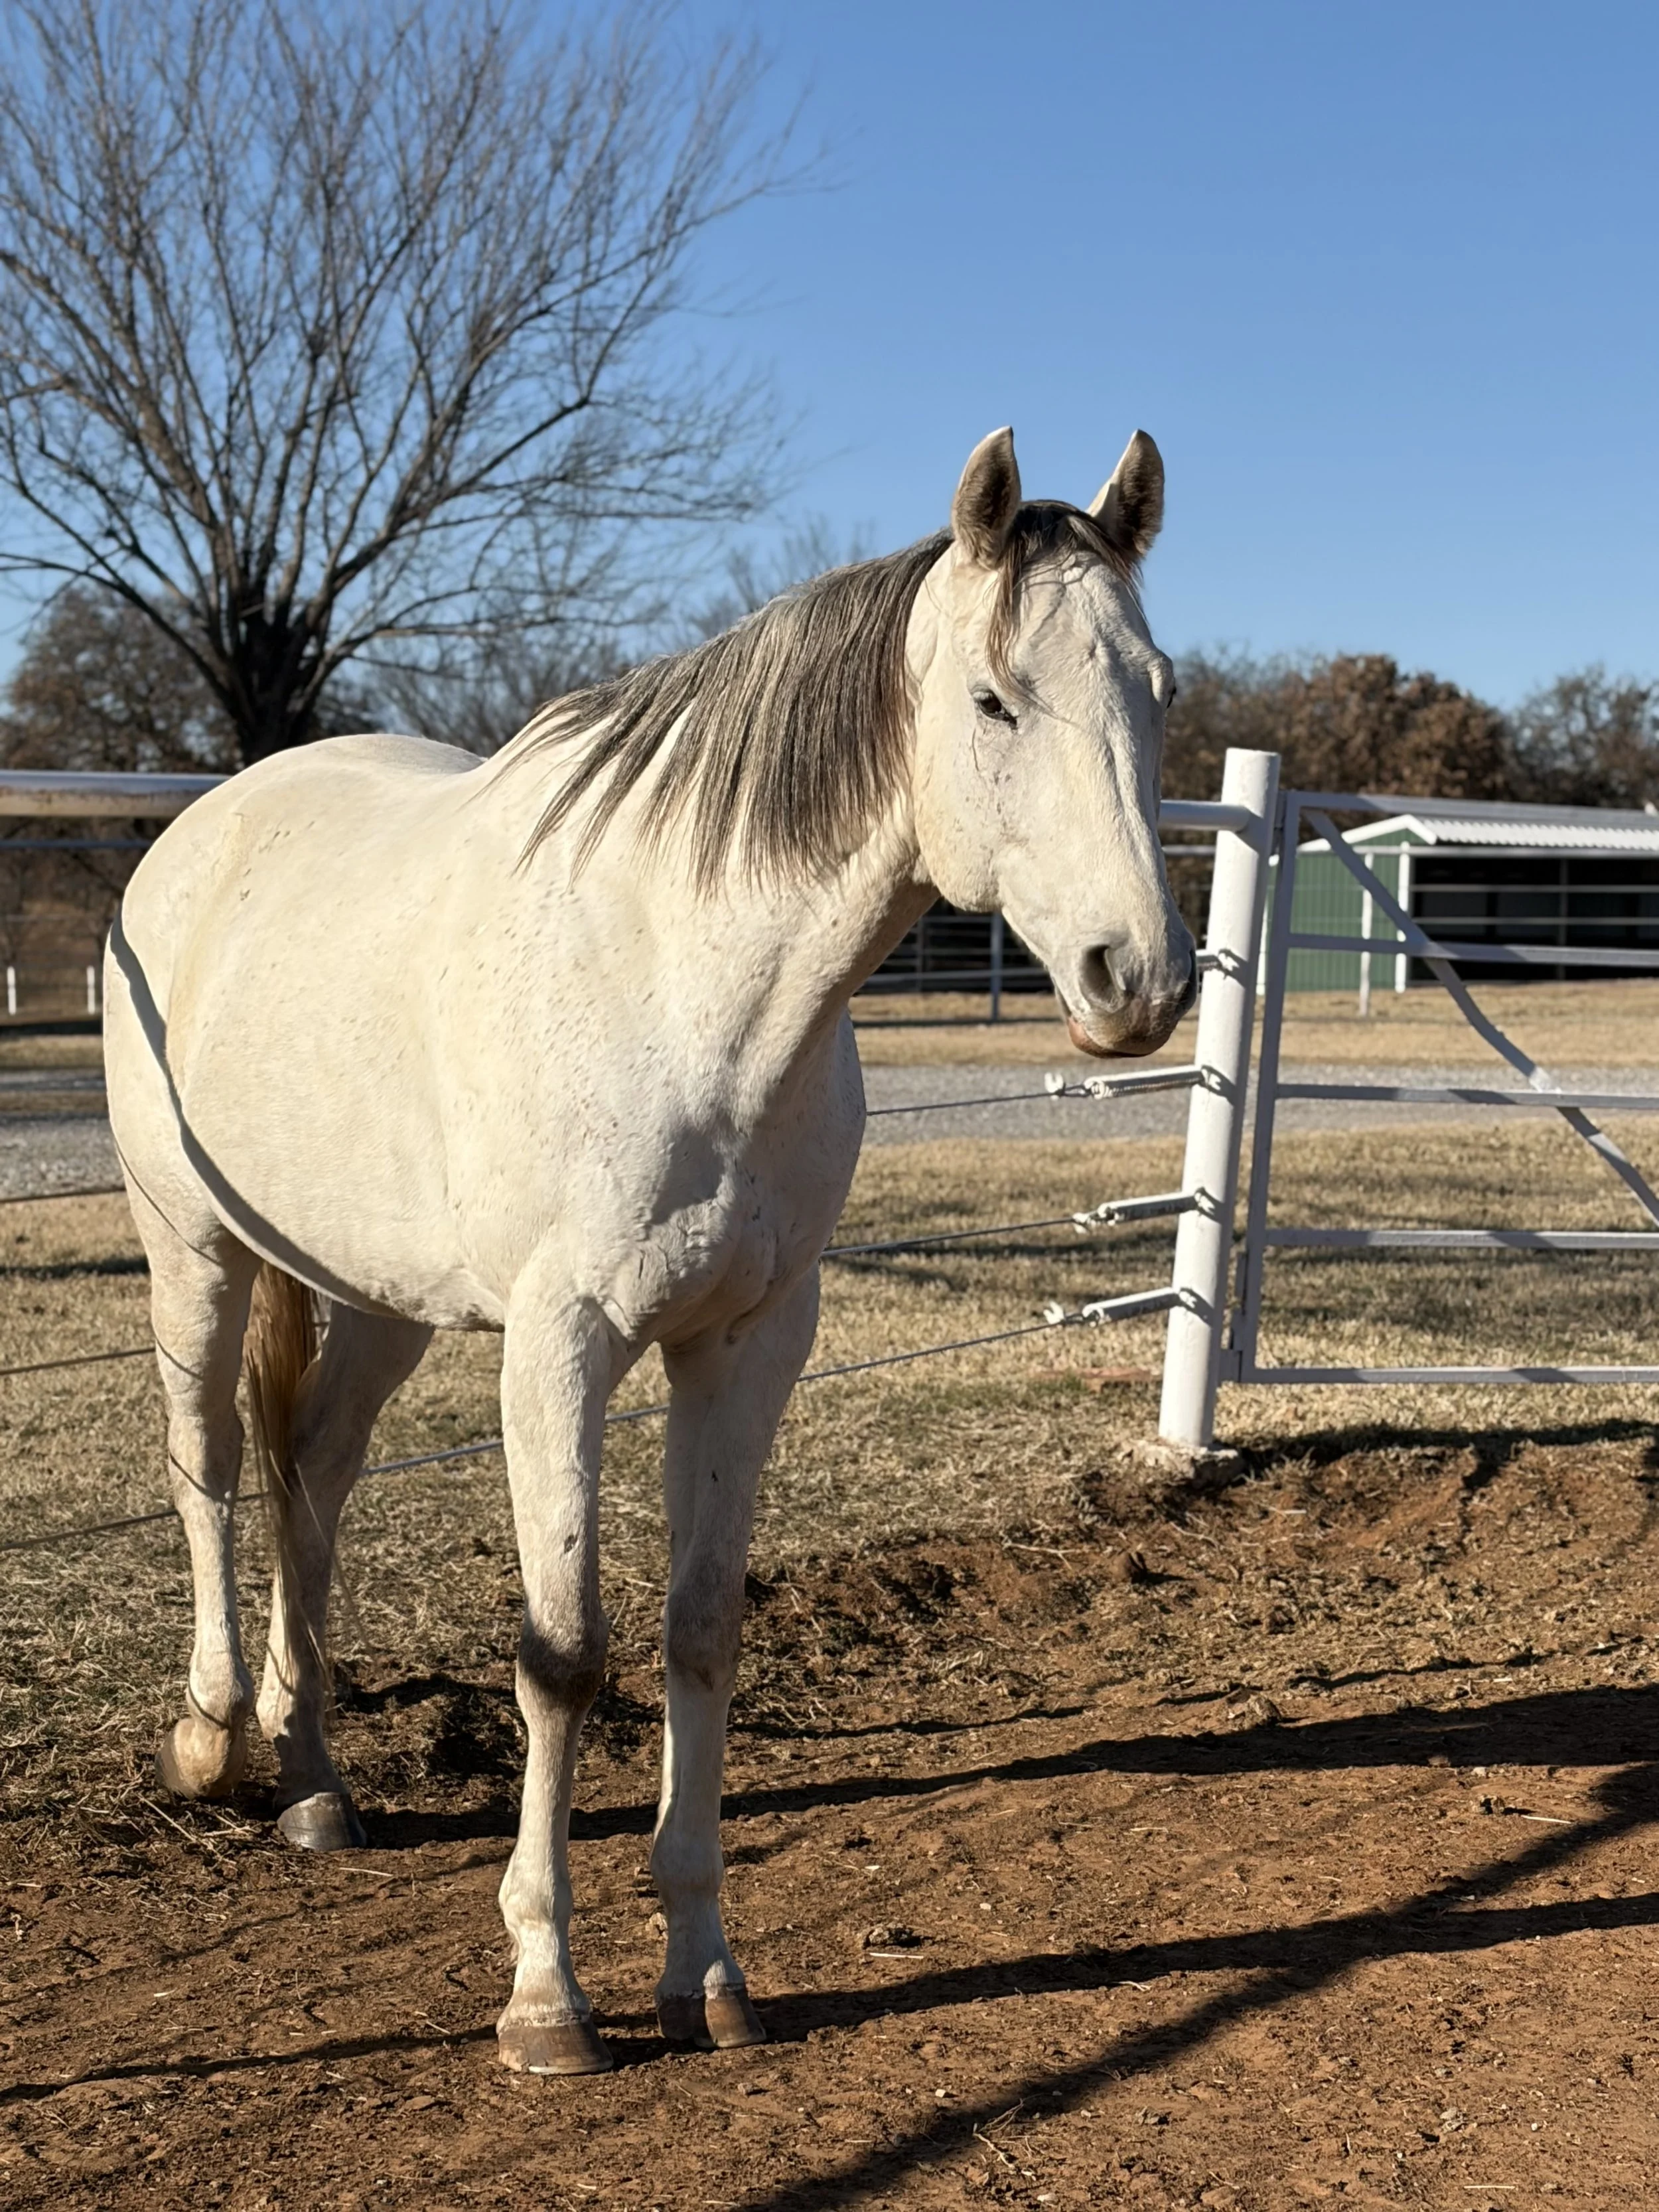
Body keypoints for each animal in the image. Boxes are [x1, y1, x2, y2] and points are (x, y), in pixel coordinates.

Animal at [103, 425, 1195, 2075]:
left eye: (1156, 689)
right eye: (992, 699)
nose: (1134, 978)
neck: (690, 989)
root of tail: (197, 834)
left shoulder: (745, 1339)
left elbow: (697, 1633)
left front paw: (704, 1971)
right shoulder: (564, 1342)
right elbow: (562, 1651)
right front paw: (545, 1995)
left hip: (377, 1295)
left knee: (312, 1479)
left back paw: (313, 1780)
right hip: (197, 1254)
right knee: (210, 1471)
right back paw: (211, 1736)